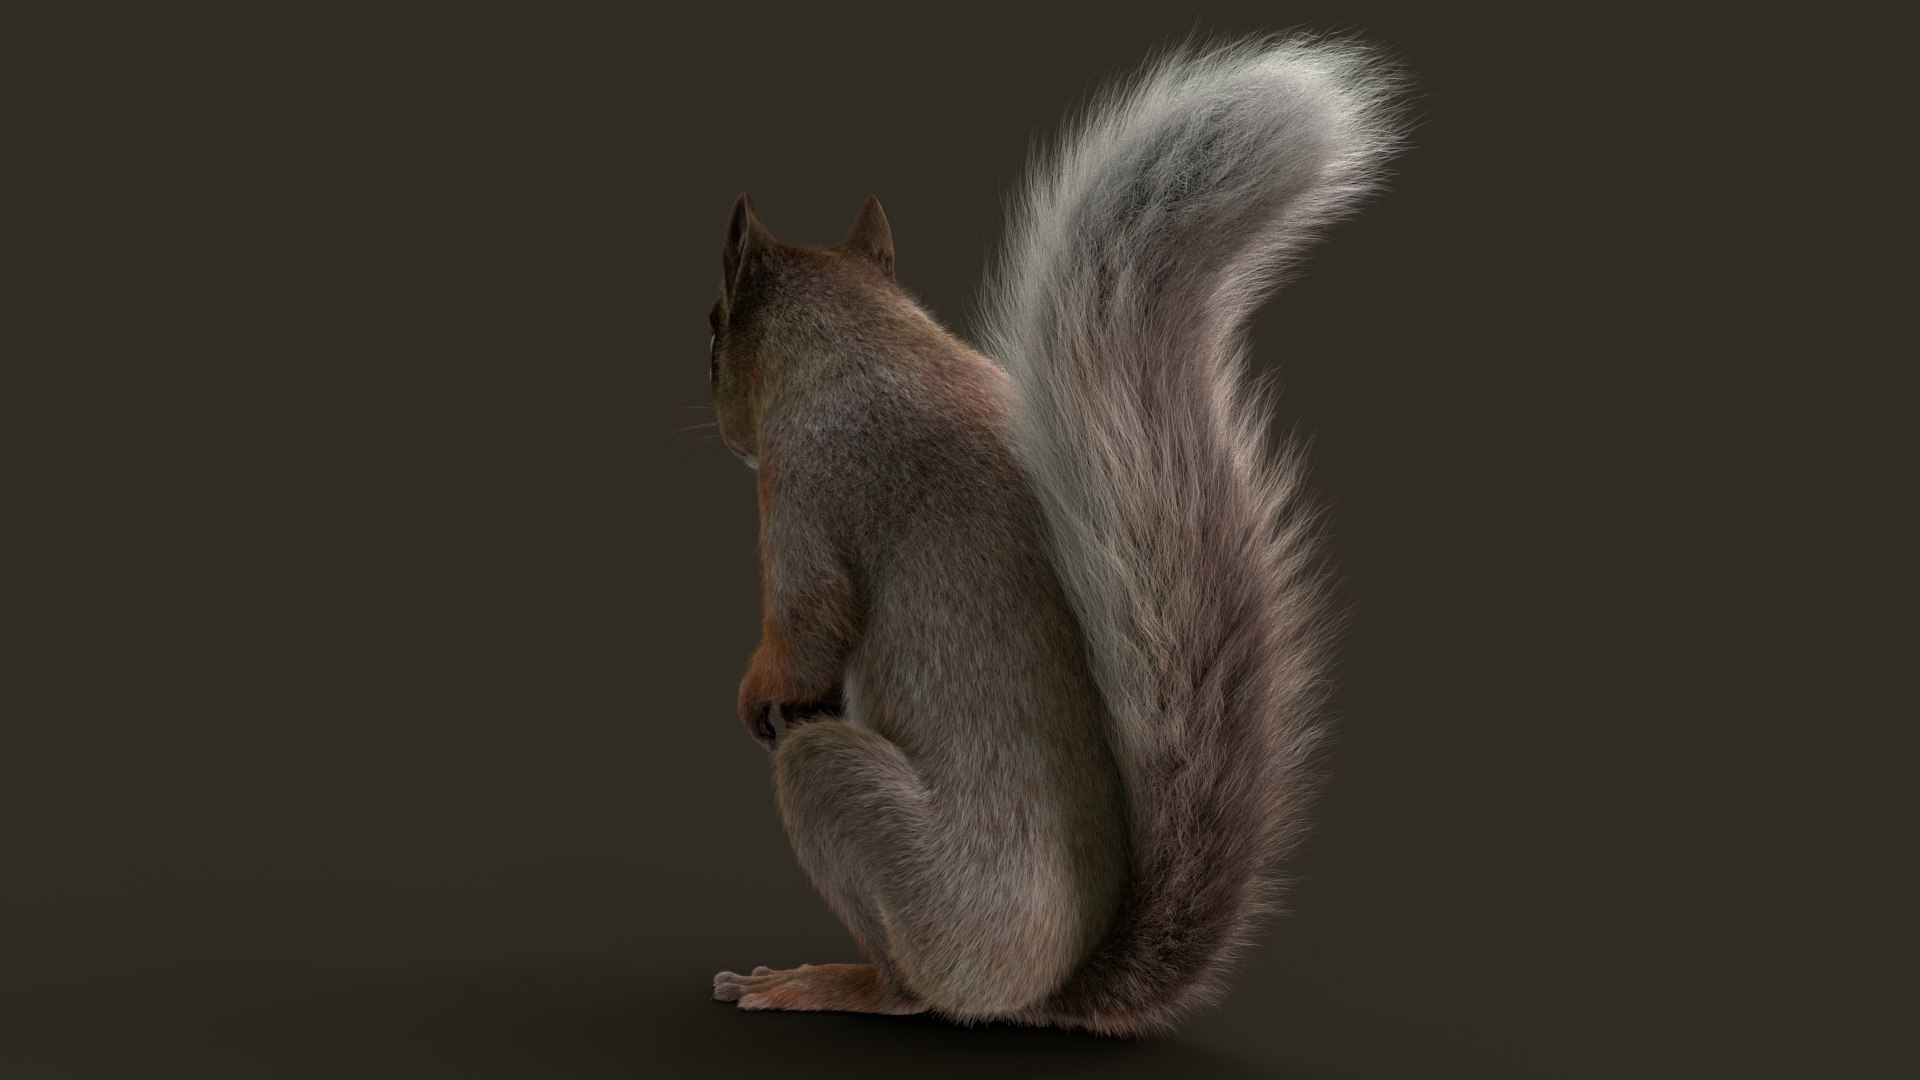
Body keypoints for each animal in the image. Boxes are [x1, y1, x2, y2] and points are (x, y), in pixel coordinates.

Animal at [705, 38, 1404, 1036]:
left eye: (712, 327)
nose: (724, 429)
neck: (866, 338)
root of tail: (1043, 989)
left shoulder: (803, 483)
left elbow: (807, 624)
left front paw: (756, 692)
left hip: (856, 815)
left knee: (909, 986)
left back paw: (832, 983)